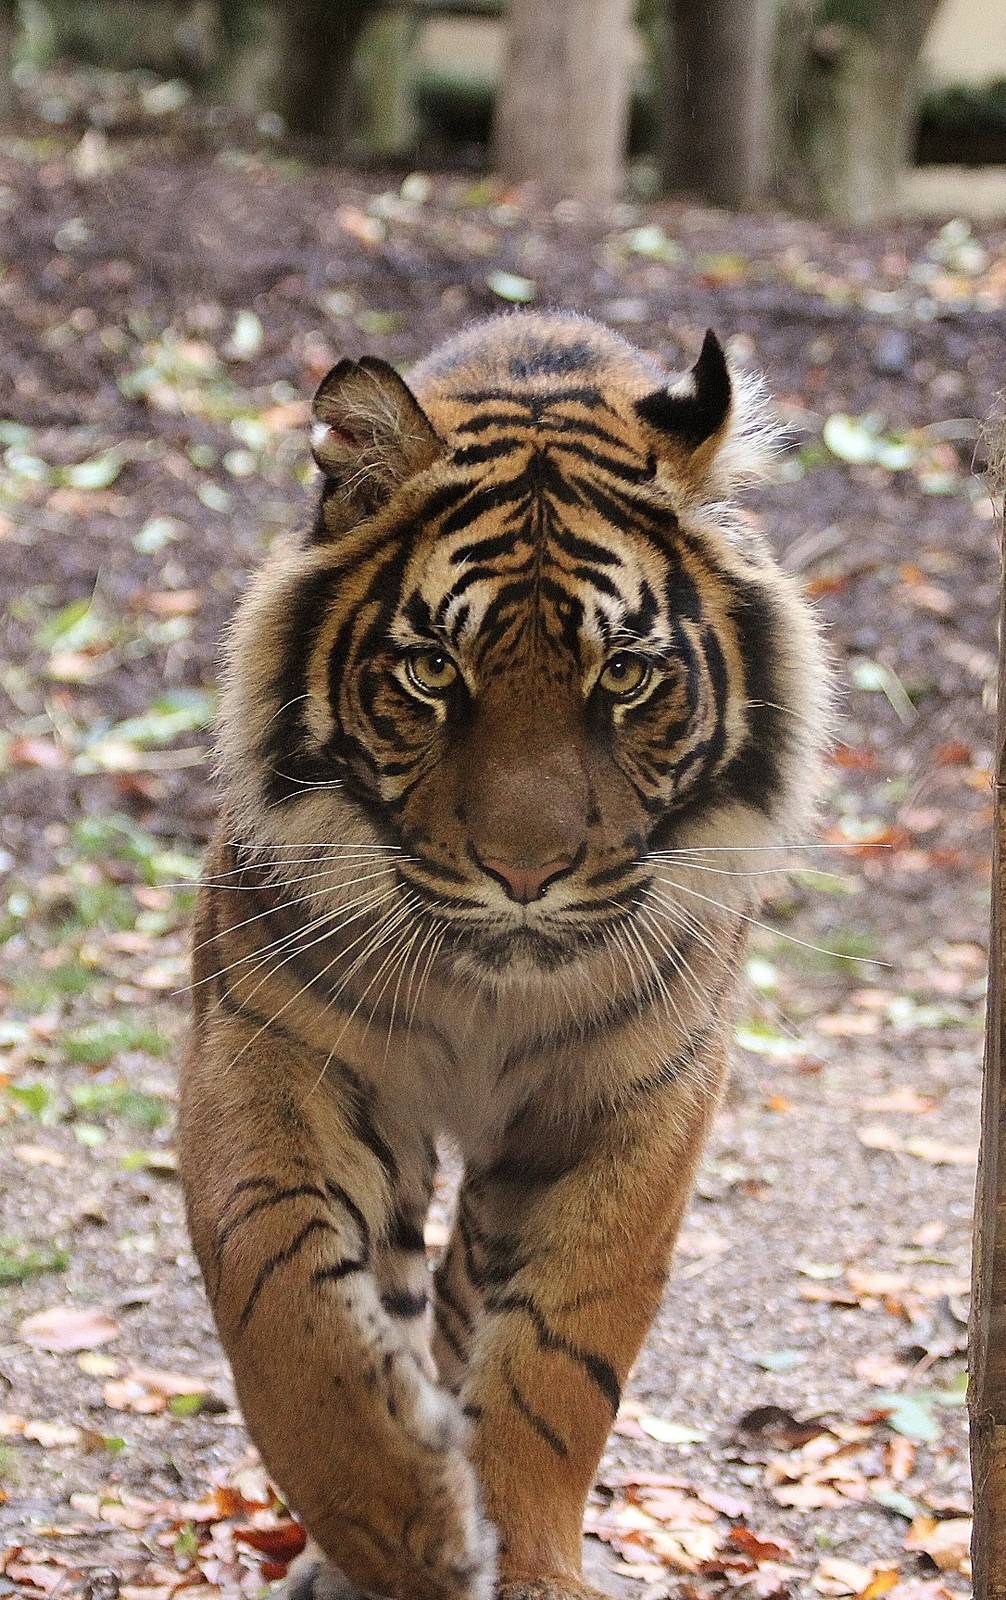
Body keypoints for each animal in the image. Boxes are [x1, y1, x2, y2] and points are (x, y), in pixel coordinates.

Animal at [179, 309, 831, 1600]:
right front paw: (410, 1533)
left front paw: (514, 1555)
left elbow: (552, 1363)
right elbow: (282, 1296)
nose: (524, 872)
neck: (483, 993)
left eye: (623, 673)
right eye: (433, 669)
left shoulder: (629, 1098)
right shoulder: (267, 1046)